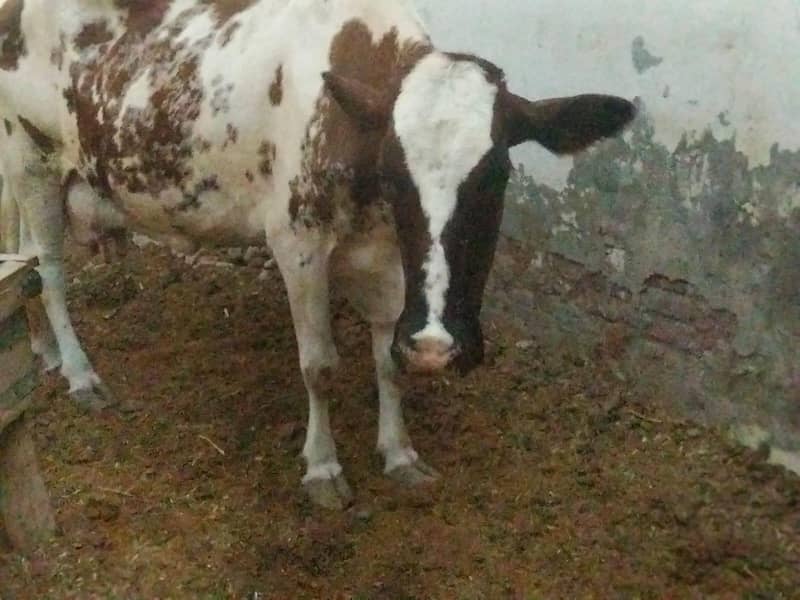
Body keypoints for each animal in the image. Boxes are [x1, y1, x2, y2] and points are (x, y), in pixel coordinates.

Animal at [0, 0, 635, 508]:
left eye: (496, 176)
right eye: (393, 173)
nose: (436, 346)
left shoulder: (388, 257)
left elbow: (387, 359)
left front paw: (399, 453)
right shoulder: (297, 243)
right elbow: (319, 365)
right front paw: (323, 467)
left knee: (22, 259)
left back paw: (41, 351)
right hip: (29, 158)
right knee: (50, 272)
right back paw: (79, 373)